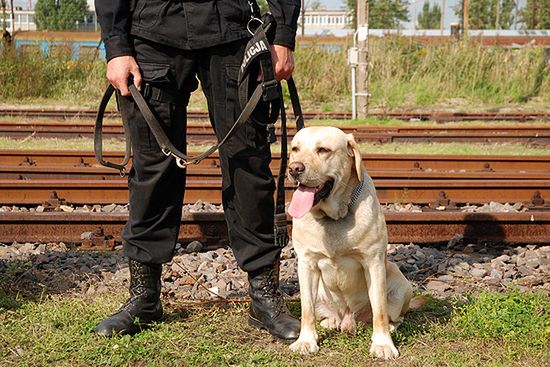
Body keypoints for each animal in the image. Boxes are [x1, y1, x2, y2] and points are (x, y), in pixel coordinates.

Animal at [288, 126, 414, 360]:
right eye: (295, 149)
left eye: (323, 150)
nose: (294, 169)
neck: (334, 217)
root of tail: (348, 319)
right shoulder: (306, 264)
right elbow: (306, 310)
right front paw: (306, 341)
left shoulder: (373, 262)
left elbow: (380, 311)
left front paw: (383, 344)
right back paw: (330, 322)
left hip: (401, 285)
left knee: (392, 316)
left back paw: (389, 328)